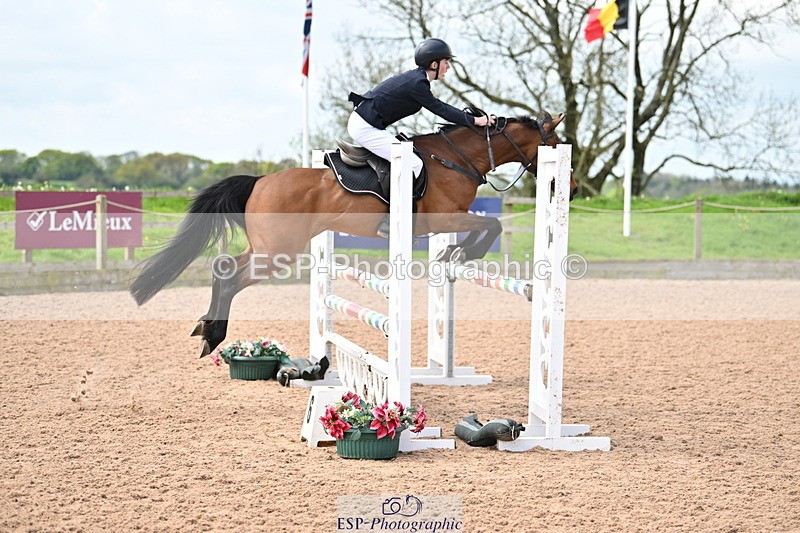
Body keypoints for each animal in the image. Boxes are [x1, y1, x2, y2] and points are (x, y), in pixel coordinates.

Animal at [129, 112, 576, 357]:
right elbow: (491, 225)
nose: (569, 189)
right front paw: (462, 254)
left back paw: (205, 328)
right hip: (277, 253)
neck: (456, 158)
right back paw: (213, 335)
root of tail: (258, 181)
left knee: (223, 268)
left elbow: (488, 225)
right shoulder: (444, 220)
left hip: (266, 249)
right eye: (554, 143)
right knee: (228, 276)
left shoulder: (450, 220)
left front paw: (454, 256)